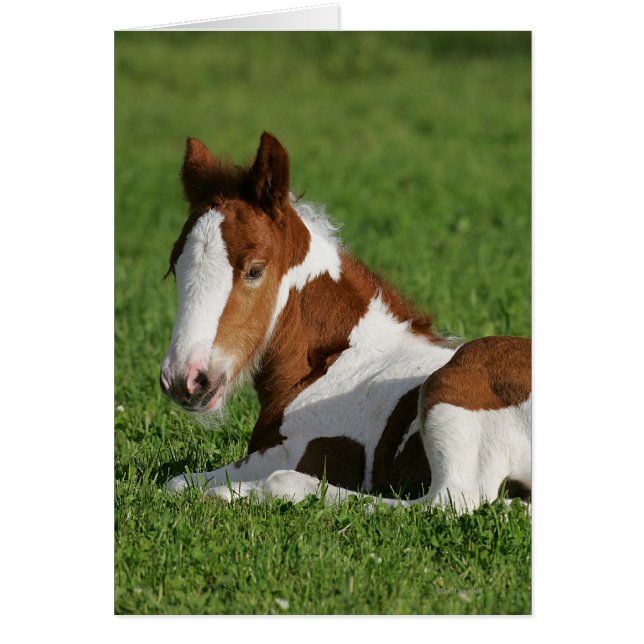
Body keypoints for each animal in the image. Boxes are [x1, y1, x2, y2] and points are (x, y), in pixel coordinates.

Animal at [160, 132, 531, 512]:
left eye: (254, 270)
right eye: (174, 266)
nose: (185, 380)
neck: (337, 360)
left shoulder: (298, 449)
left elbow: (179, 482)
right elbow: (178, 482)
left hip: (452, 388)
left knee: (448, 501)